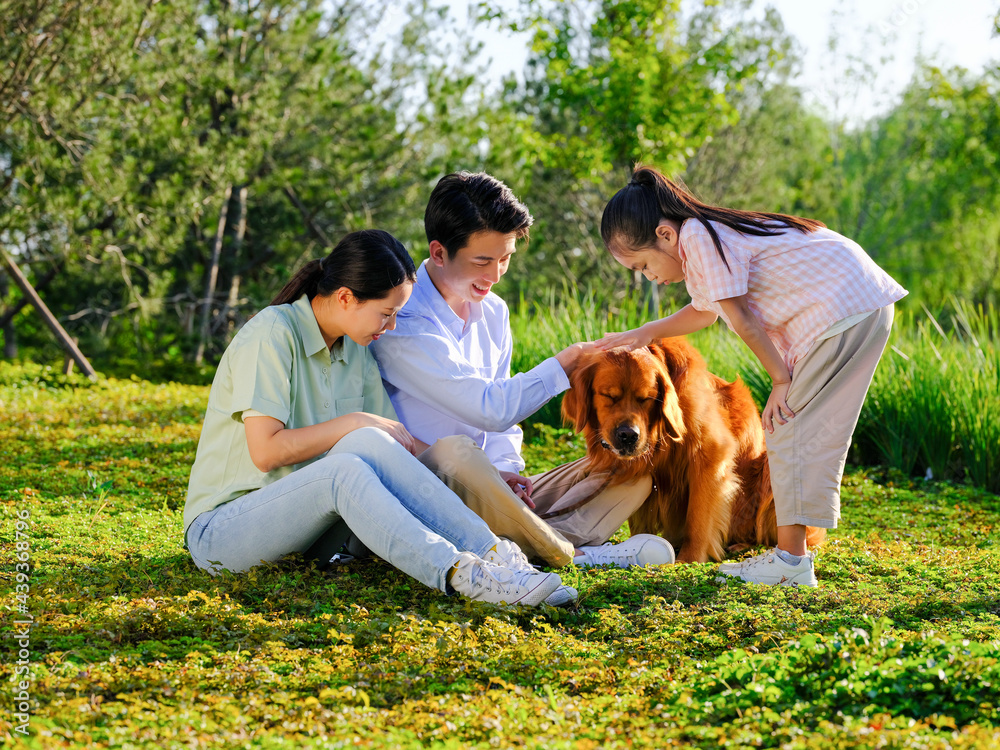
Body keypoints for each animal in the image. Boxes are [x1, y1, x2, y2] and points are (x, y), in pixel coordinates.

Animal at [564, 338, 828, 560]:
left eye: (646, 398)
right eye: (608, 396)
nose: (629, 436)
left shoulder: (710, 454)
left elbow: (698, 518)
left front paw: (689, 558)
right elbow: (639, 522)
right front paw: (638, 543)